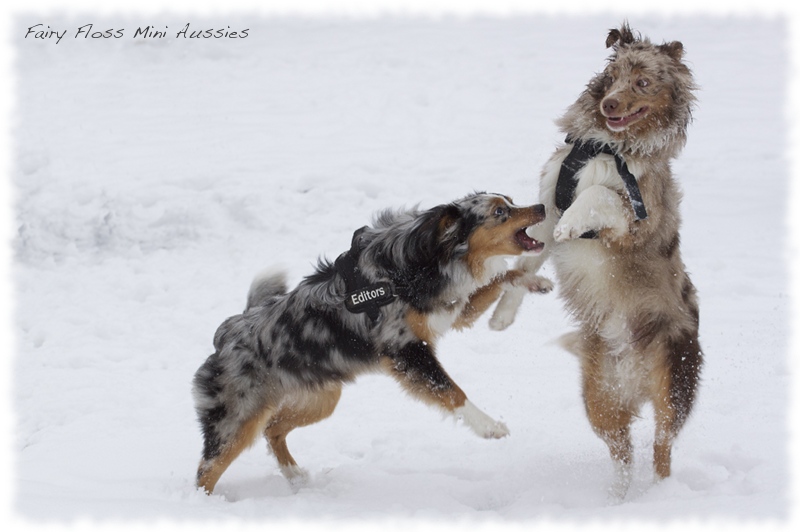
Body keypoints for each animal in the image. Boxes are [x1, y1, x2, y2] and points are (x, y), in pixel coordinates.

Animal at [490, 23, 704, 498]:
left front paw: (576, 223)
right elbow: (525, 262)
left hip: (673, 382)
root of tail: (634, 378)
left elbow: (598, 195)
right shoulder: (547, 205)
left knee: (662, 448)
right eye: (614, 76)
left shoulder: (637, 216)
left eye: (642, 82)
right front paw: (501, 317)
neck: (607, 147)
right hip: (598, 398)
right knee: (622, 452)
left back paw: (660, 497)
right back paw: (617, 499)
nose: (609, 104)